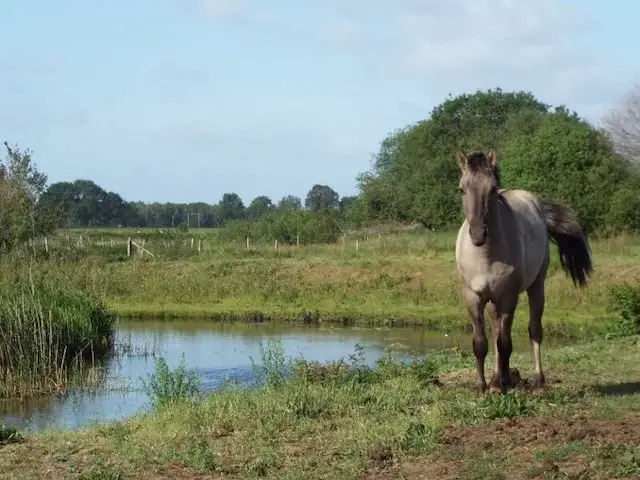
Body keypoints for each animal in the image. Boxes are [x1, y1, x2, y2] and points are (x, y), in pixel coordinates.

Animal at [454, 148, 593, 394]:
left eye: (492, 189)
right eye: (462, 189)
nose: (478, 234)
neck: (486, 255)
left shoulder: (509, 297)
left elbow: (505, 343)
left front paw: (498, 386)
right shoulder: (472, 297)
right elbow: (481, 343)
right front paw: (481, 387)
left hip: (535, 287)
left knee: (534, 330)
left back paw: (536, 381)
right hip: (493, 302)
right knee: (496, 332)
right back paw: (499, 378)